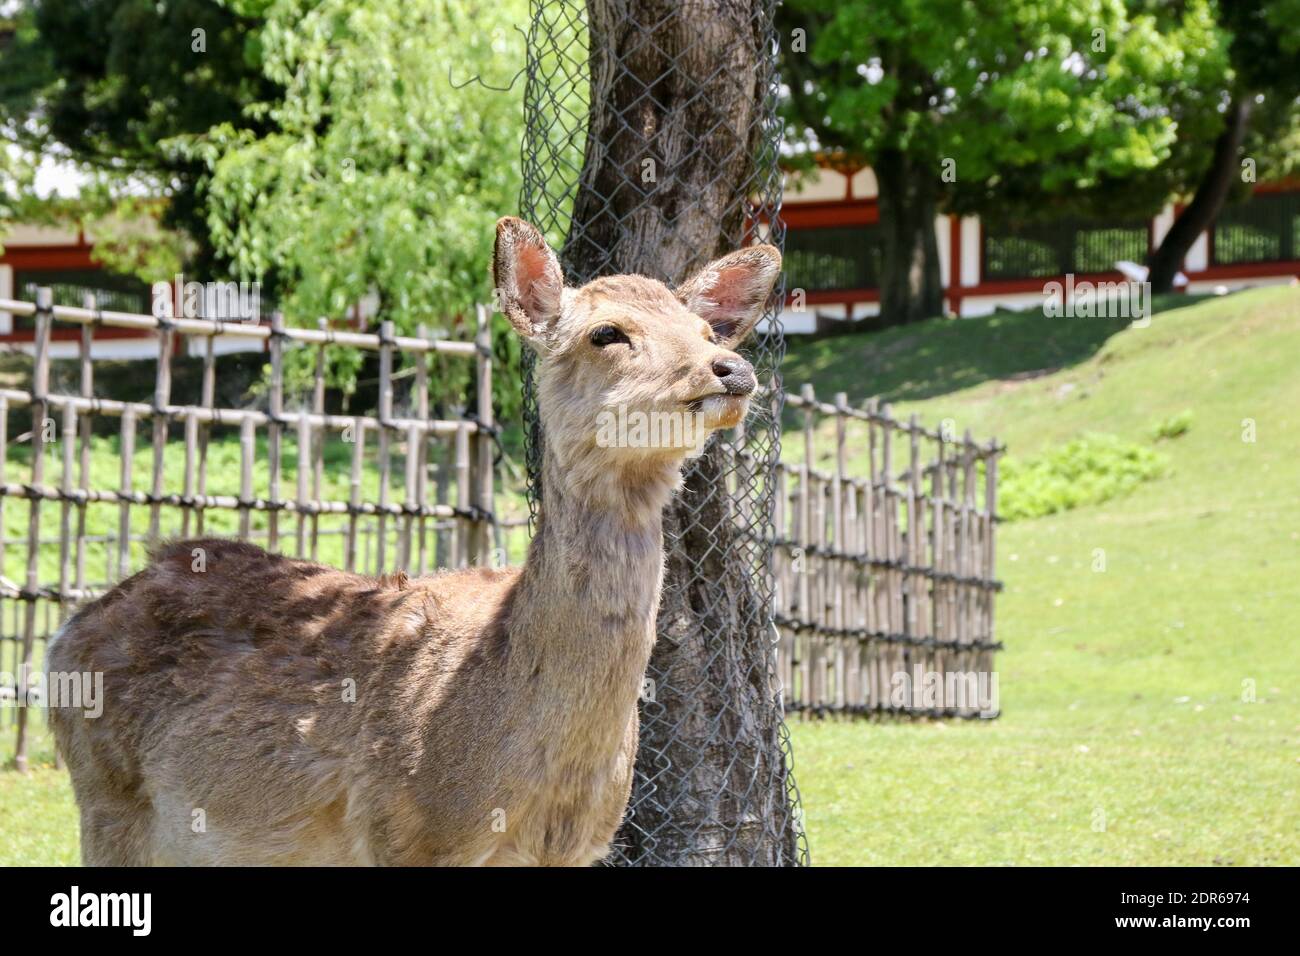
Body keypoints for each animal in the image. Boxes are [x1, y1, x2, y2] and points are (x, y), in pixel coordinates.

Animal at [48, 217, 780, 866]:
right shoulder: (405, 832)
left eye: (705, 329)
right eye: (607, 332)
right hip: (106, 797)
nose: (729, 368)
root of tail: (62, 638)